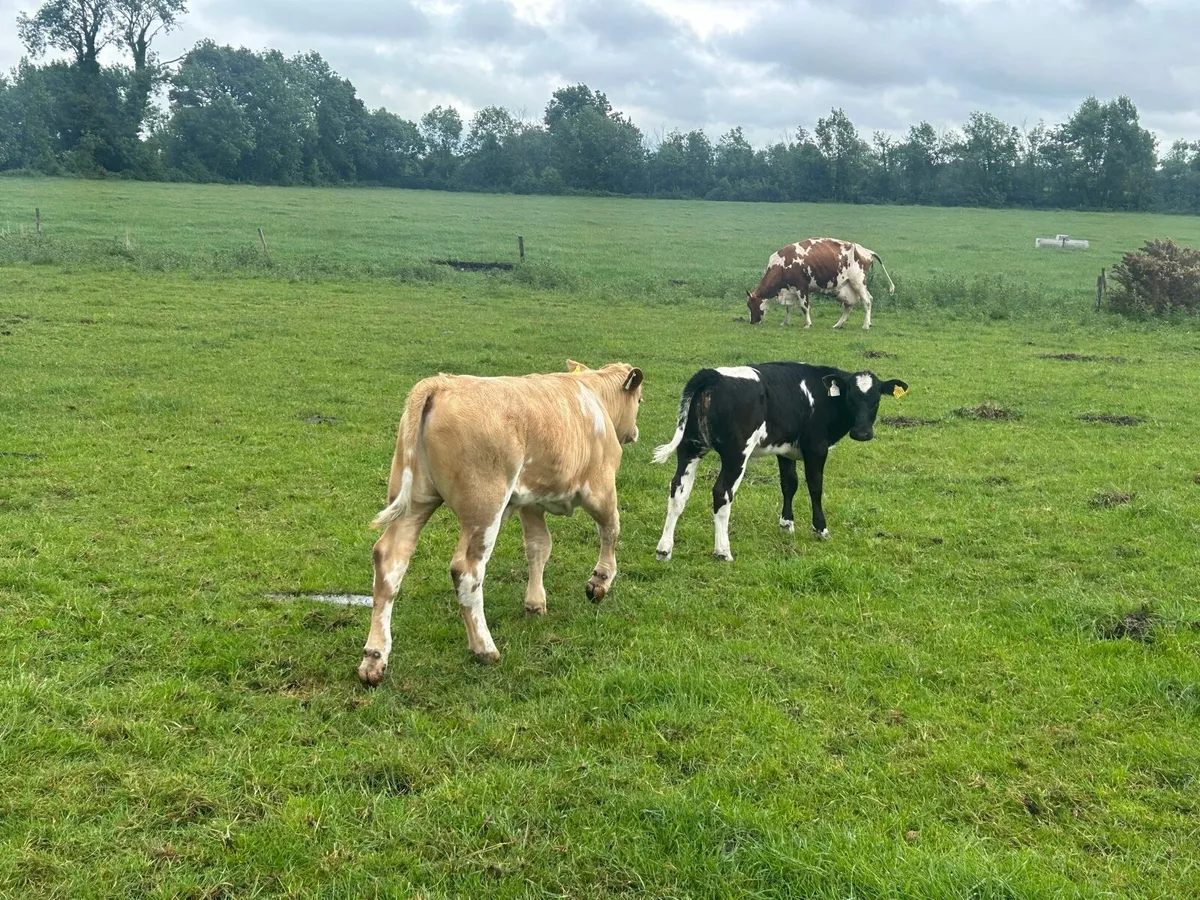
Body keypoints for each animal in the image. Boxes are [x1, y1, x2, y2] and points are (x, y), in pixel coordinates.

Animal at [358, 360, 645, 685]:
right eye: (640, 400)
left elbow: (538, 547)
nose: (634, 432)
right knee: (466, 570)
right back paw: (484, 648)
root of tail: (441, 384)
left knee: (390, 561)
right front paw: (600, 582)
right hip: (484, 510)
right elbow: (611, 529)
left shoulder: (530, 503)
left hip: (415, 502)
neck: (593, 397)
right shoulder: (601, 487)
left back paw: (374, 658)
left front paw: (535, 603)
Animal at [652, 363, 908, 562]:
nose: (862, 433)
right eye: (850, 398)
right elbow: (815, 486)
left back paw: (664, 550)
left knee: (678, 491)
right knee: (722, 493)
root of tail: (712, 374)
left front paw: (786, 524)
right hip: (736, 454)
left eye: (876, 400)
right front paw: (821, 529)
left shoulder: (785, 451)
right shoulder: (816, 448)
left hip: (690, 447)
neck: (822, 395)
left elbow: (789, 484)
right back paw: (723, 551)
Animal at [746, 238, 895, 329]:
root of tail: (866, 251)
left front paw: (807, 324)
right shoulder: (790, 289)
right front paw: (785, 322)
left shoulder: (801, 287)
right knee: (850, 305)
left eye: (750, 305)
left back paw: (865, 325)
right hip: (847, 287)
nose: (752, 322)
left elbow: (804, 306)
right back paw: (838, 325)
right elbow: (789, 308)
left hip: (858, 282)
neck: (781, 265)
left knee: (867, 301)